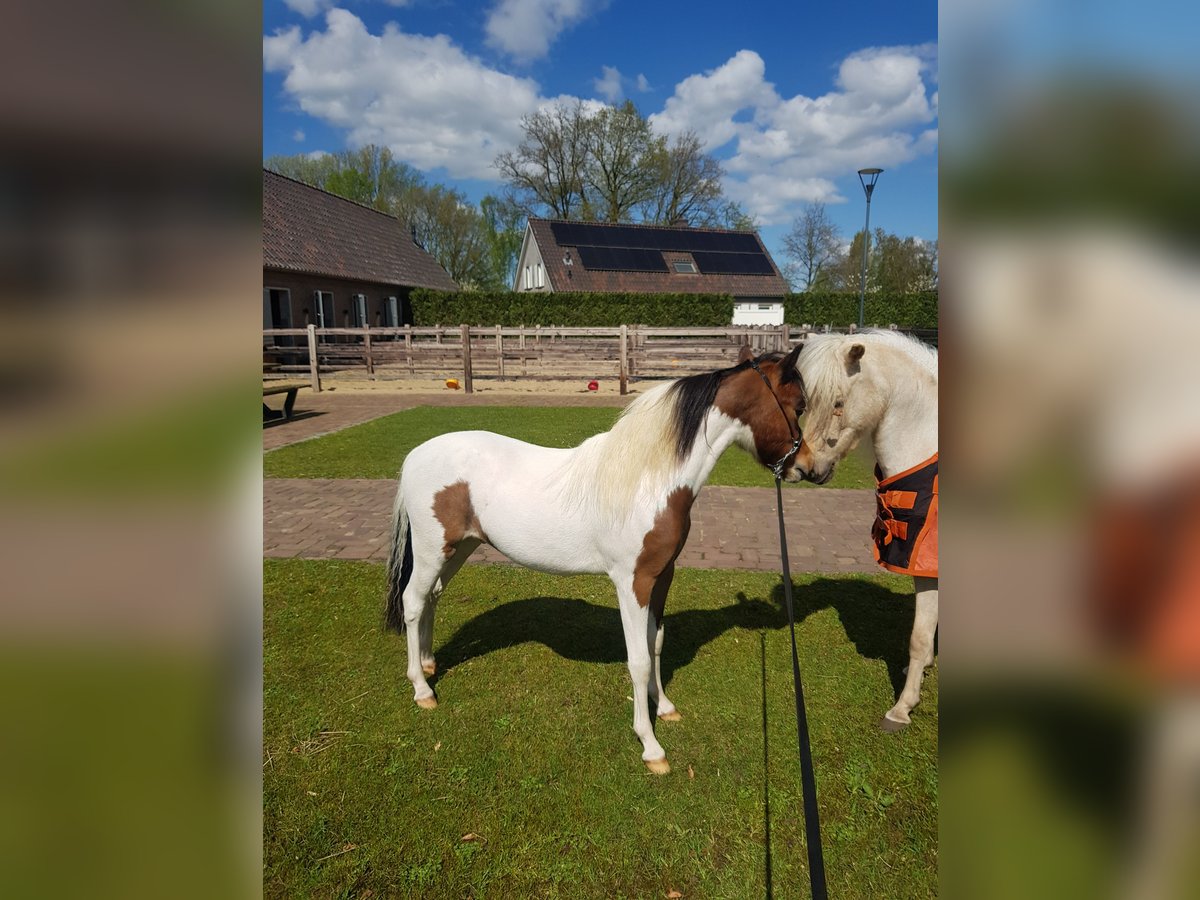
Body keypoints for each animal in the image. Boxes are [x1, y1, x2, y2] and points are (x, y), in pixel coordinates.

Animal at [388, 345, 811, 777]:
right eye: (799, 405)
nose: (809, 468)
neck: (650, 480)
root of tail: (416, 456)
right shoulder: (632, 582)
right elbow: (638, 660)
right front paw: (650, 745)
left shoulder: (662, 576)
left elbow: (656, 642)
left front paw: (665, 707)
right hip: (432, 550)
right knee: (412, 602)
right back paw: (422, 689)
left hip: (459, 548)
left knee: (432, 598)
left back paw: (429, 664)